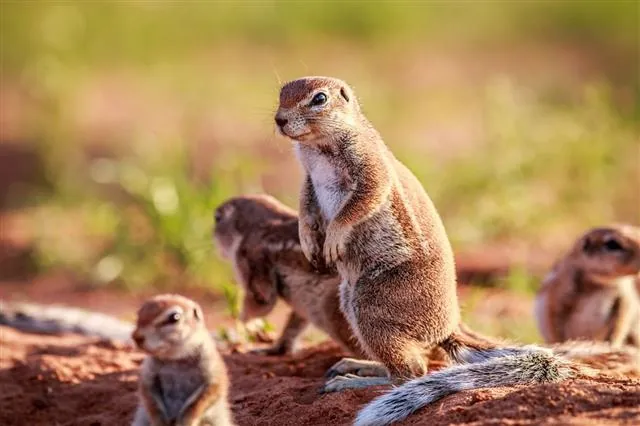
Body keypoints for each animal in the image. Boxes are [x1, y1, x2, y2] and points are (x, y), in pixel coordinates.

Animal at [131, 294, 234, 426]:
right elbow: (151, 401)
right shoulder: (148, 374)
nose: (136, 337)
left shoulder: (212, 373)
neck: (176, 358)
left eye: (174, 317)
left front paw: (185, 421)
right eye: (139, 312)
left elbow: (198, 402)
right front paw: (160, 421)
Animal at [212, 194, 390, 377]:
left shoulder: (250, 255)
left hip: (331, 306)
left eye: (216, 218)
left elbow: (262, 303)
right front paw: (274, 349)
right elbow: (294, 321)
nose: (212, 240)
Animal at [275, 76, 581, 425]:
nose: (279, 120)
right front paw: (309, 242)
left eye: (319, 99)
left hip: (370, 305)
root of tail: (447, 329)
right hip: (349, 298)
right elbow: (306, 210)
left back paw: (351, 380)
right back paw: (358, 365)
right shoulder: (308, 182)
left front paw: (335, 237)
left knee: (411, 372)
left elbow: (361, 202)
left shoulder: (370, 168)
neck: (317, 146)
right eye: (281, 94)